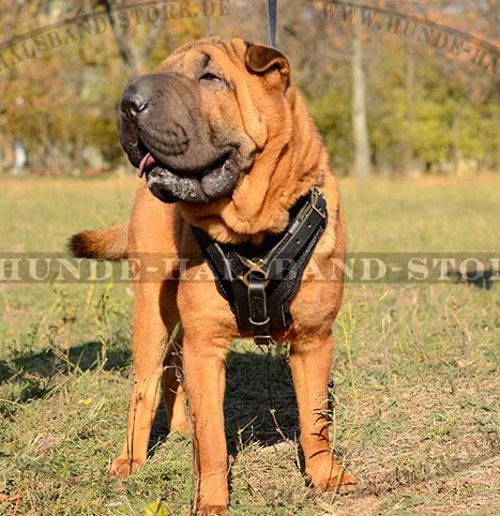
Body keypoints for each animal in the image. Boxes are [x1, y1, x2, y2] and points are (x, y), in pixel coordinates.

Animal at [71, 36, 360, 516]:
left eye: (210, 78)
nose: (129, 101)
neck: (255, 230)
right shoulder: (205, 346)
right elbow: (212, 441)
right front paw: (210, 501)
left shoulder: (313, 339)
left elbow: (315, 421)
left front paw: (326, 477)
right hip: (152, 312)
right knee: (145, 388)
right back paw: (129, 460)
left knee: (173, 370)